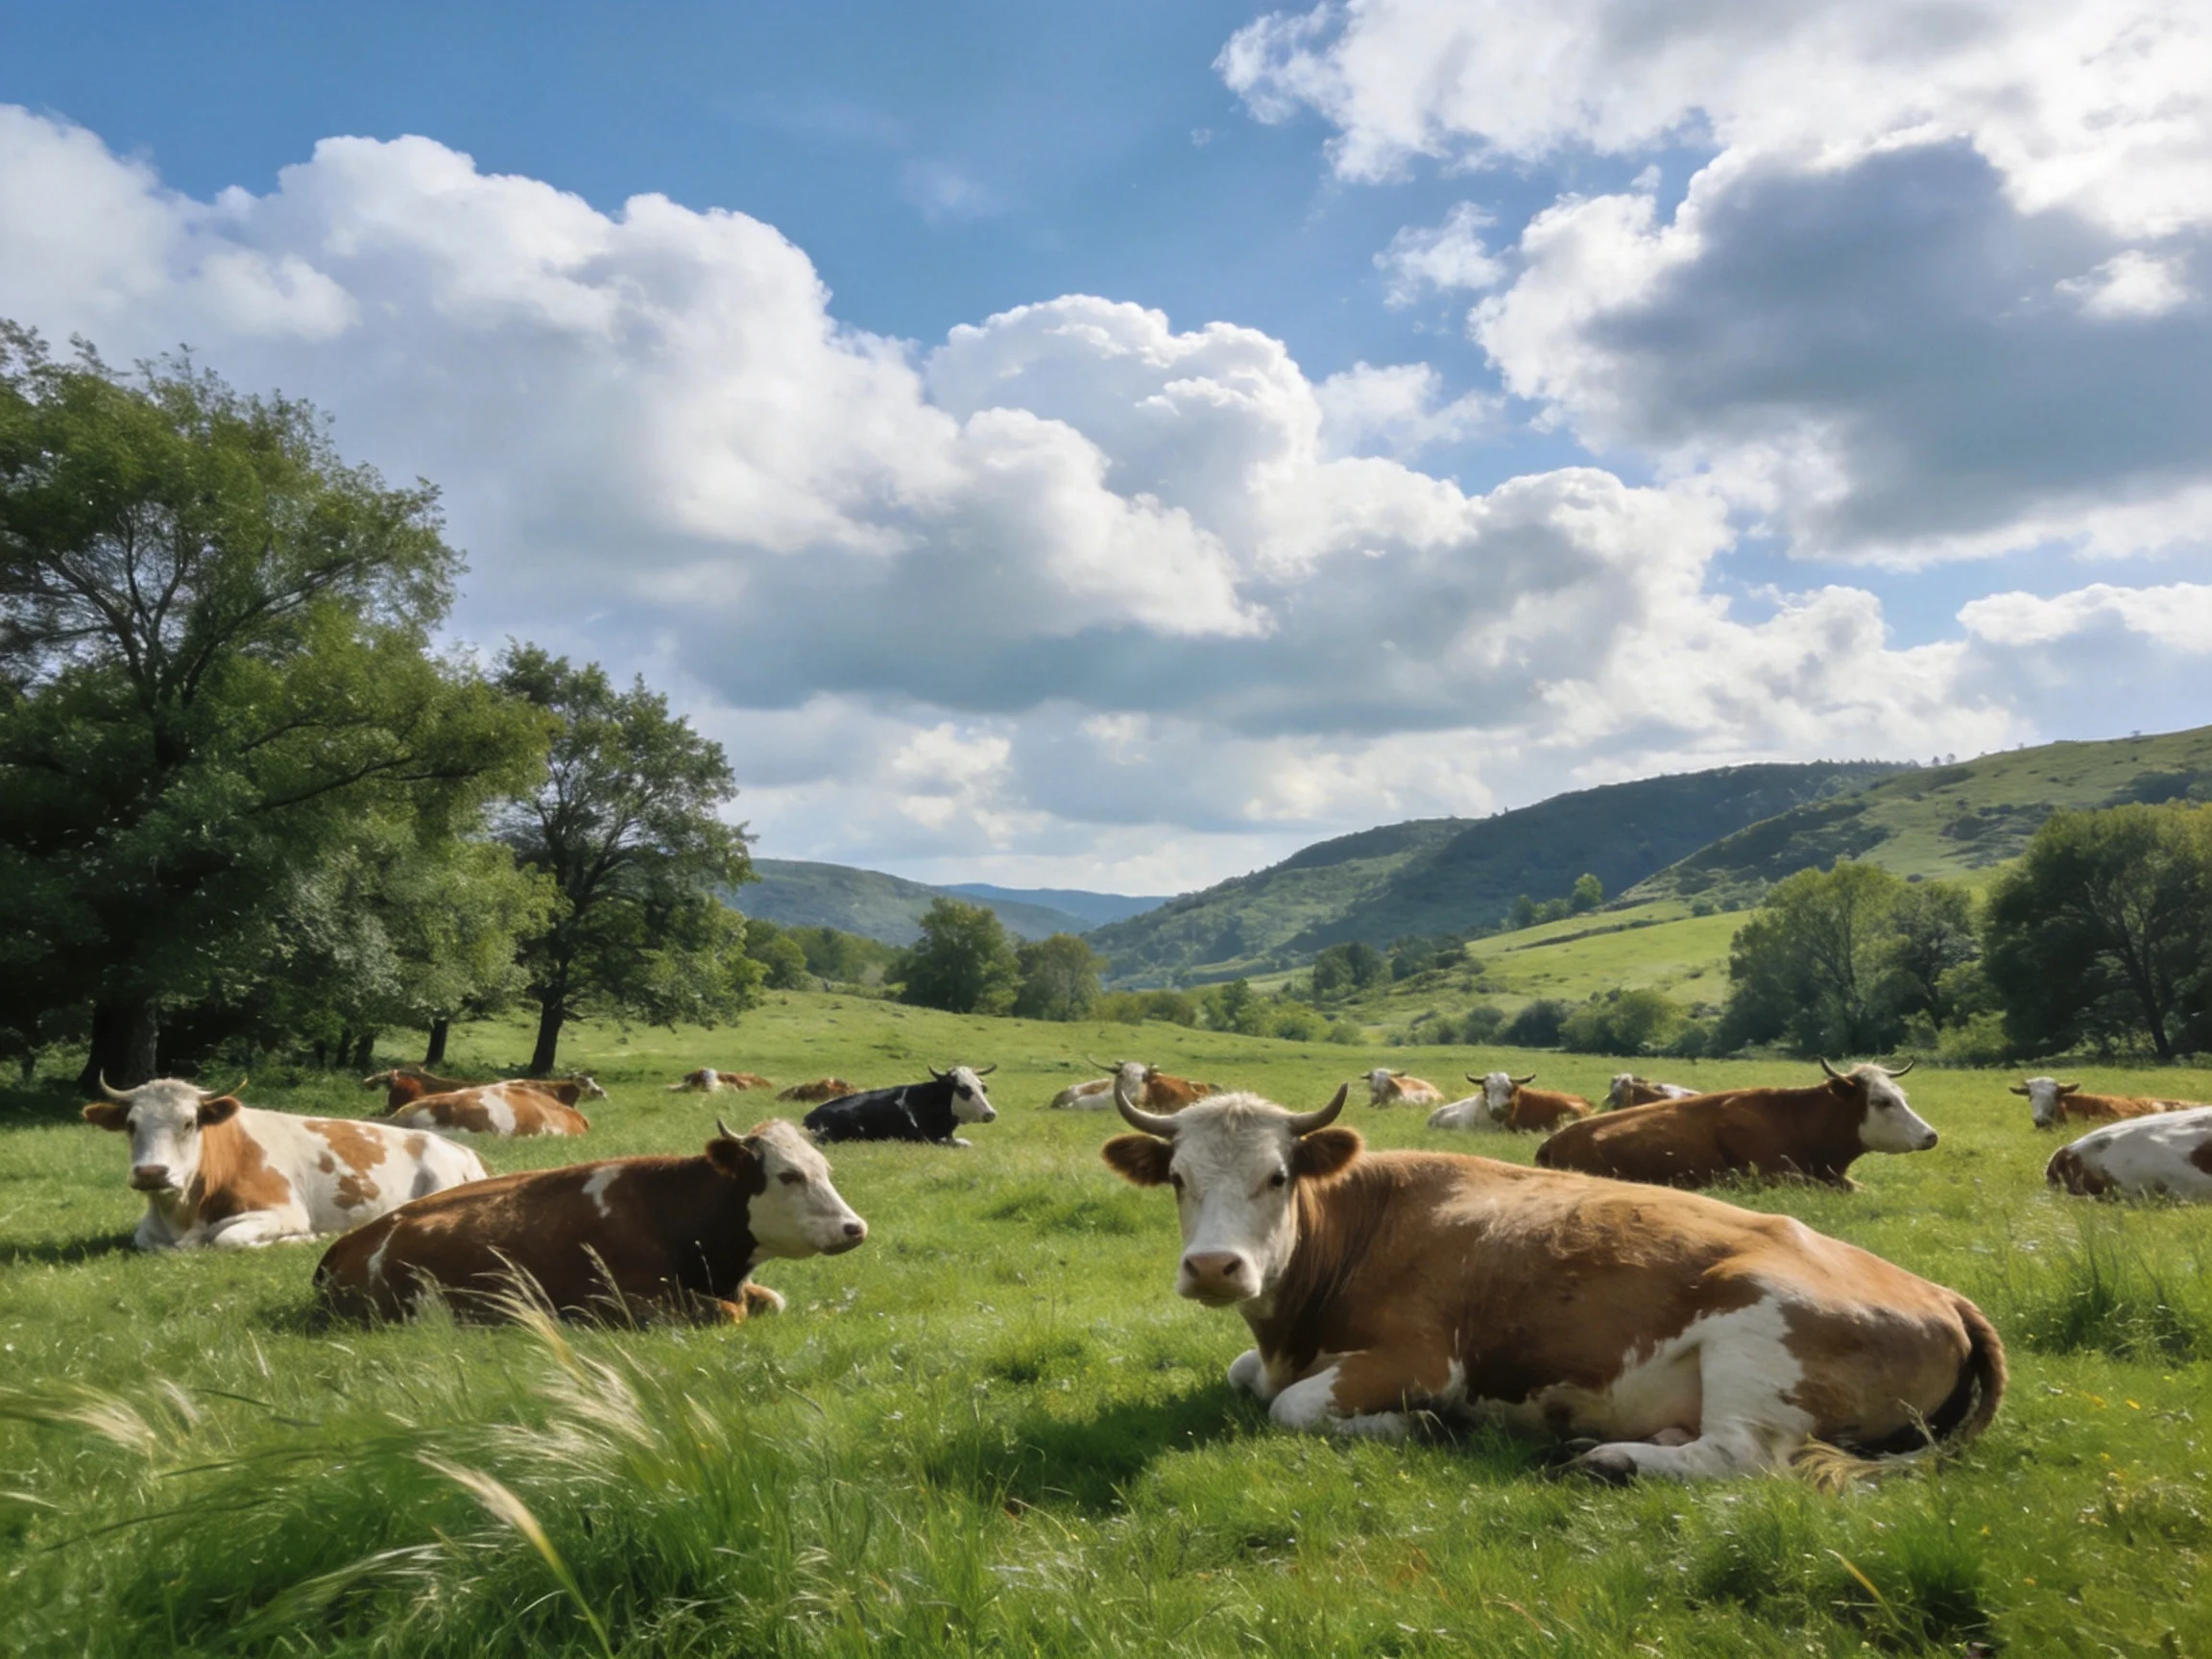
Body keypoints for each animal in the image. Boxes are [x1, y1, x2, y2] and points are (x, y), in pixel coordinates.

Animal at [82, 1075, 487, 1251]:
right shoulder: (150, 1232)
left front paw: (304, 1239)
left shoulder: (285, 1211)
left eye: (189, 1122)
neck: (183, 1215)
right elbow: (146, 1241)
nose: (152, 1172)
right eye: (131, 1125)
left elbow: (228, 1238)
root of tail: (459, 1148)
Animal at [315, 1118, 866, 1324]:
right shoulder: (624, 1300)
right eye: (789, 1175)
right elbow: (732, 1313)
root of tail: (349, 1243)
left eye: (825, 1169)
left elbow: (771, 1301)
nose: (854, 1228)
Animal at [802, 1065, 997, 1145]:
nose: (991, 1113)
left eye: (983, 1087)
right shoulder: (922, 1139)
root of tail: (809, 1116)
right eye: (963, 1089)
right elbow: (963, 1144)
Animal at [1098, 1079, 2004, 1482]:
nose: (1216, 1267)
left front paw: (1422, 1427)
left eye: (1278, 1176)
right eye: (1177, 1178)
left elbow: (1287, 1407)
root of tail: (1944, 1294)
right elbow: (1244, 1377)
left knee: (1740, 1458)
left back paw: (1607, 1458)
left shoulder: (1421, 1360)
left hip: (1758, 1341)